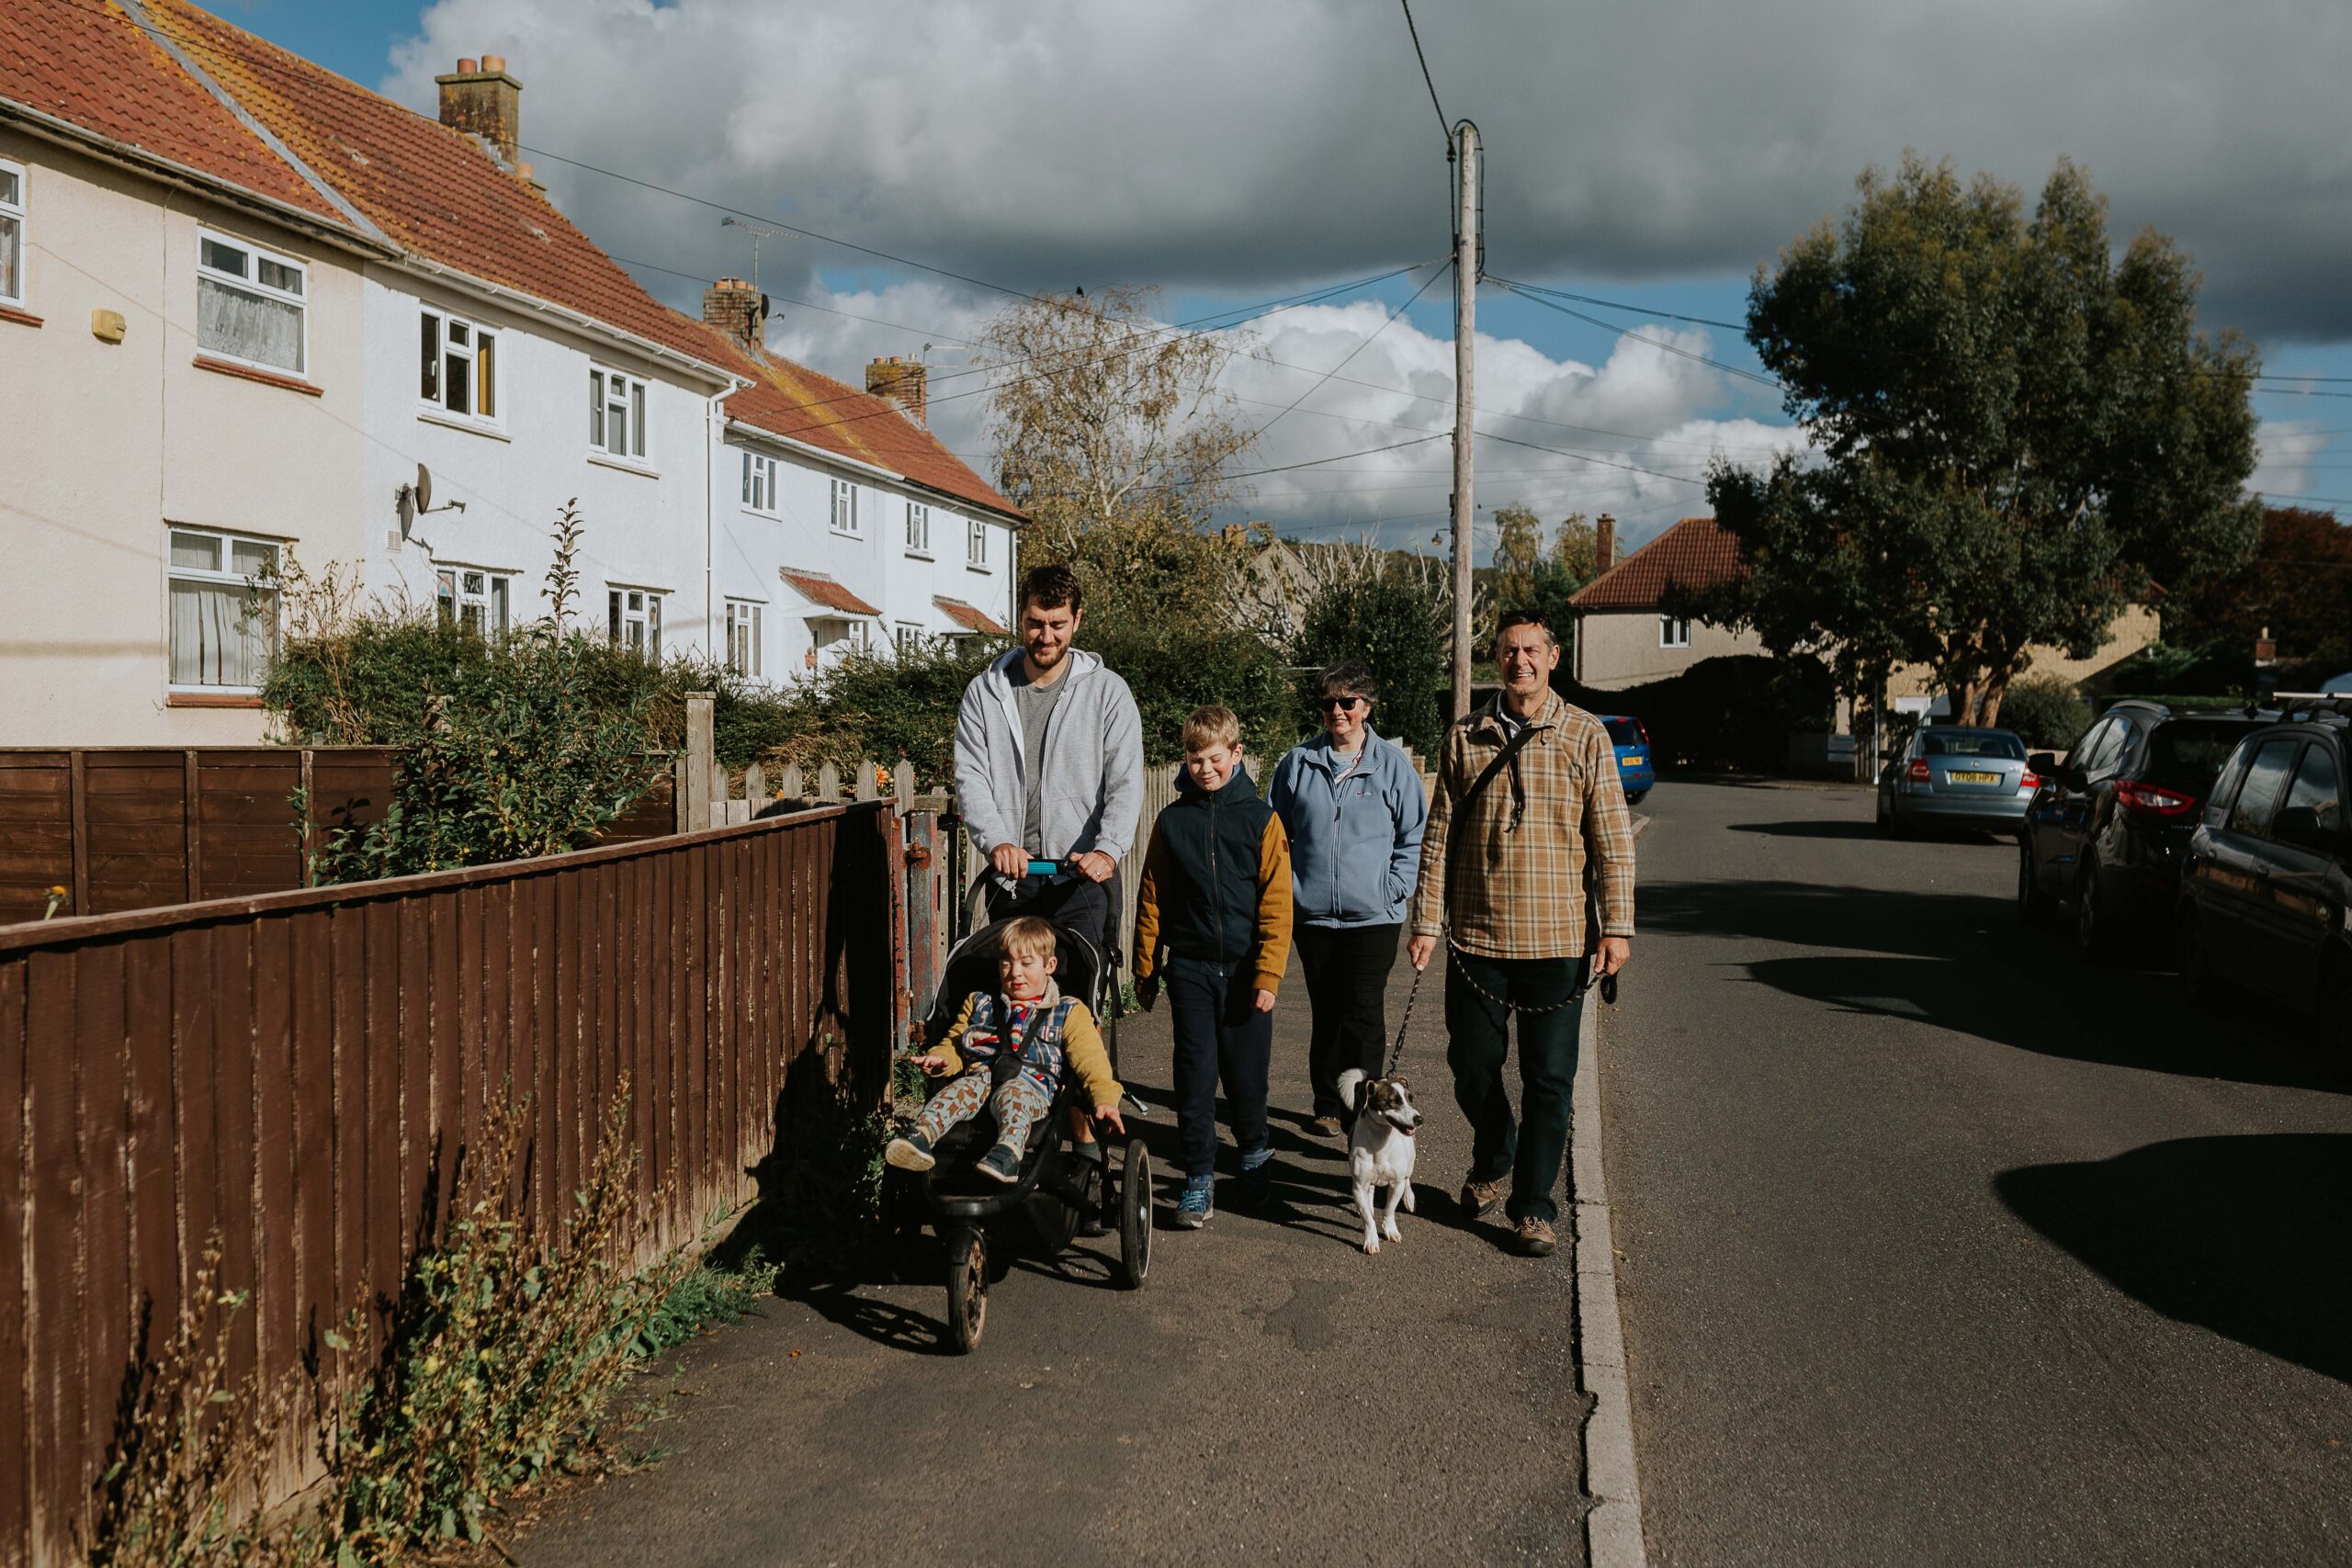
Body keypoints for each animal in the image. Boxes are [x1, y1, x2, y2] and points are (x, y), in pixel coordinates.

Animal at [1336, 1066, 1420, 1250]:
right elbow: (1368, 1219)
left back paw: (1409, 1198)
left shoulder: (1396, 1184)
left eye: (1410, 1099)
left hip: (1410, 1162)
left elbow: (1389, 1210)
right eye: (1393, 1101)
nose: (1419, 1119)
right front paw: (1371, 1240)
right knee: (1371, 1191)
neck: (1381, 1140)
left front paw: (1390, 1230)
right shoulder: (1359, 1187)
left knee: (1408, 1178)